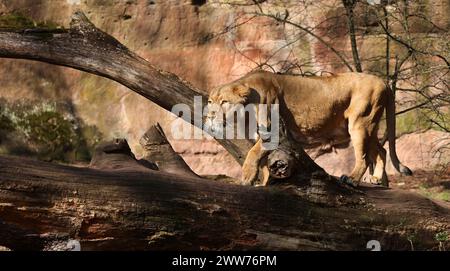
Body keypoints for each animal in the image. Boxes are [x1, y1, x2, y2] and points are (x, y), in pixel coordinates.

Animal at [206, 71, 414, 188]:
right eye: (209, 101)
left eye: (224, 102)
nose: (209, 117)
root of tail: (384, 82)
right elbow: (264, 163)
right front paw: (263, 184)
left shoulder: (273, 131)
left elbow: (252, 154)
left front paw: (246, 178)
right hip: (370, 126)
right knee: (382, 150)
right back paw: (376, 179)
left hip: (360, 123)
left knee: (363, 156)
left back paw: (353, 179)